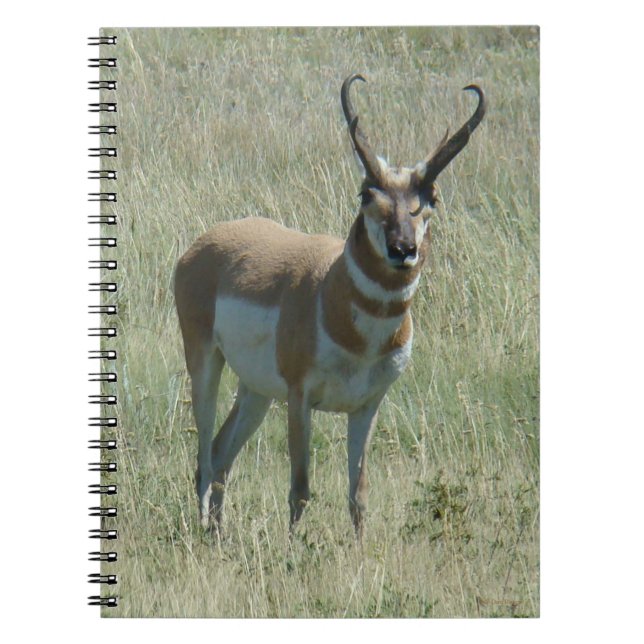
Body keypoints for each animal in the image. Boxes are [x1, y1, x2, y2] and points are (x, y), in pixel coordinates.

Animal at [174, 74, 485, 537]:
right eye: (366, 194)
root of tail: (205, 242)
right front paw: (293, 548)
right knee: (204, 457)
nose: (402, 249)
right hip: (206, 364)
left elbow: (358, 495)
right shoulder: (300, 398)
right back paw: (201, 530)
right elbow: (300, 488)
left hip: (257, 391)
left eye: (431, 197)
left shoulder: (367, 406)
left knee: (221, 452)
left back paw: (218, 534)